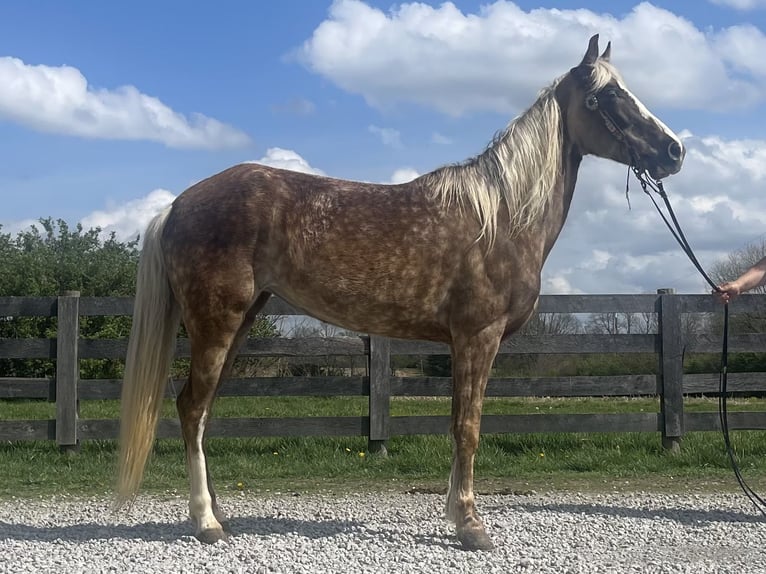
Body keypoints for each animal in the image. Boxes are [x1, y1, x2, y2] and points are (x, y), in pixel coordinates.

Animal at [117, 35, 685, 551]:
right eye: (609, 96)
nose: (674, 150)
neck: (501, 216)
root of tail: (177, 204)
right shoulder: (478, 336)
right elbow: (468, 426)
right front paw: (471, 526)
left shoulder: (463, 343)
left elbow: (458, 423)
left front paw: (456, 512)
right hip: (217, 323)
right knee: (192, 408)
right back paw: (205, 522)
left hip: (240, 323)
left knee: (205, 411)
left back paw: (220, 513)